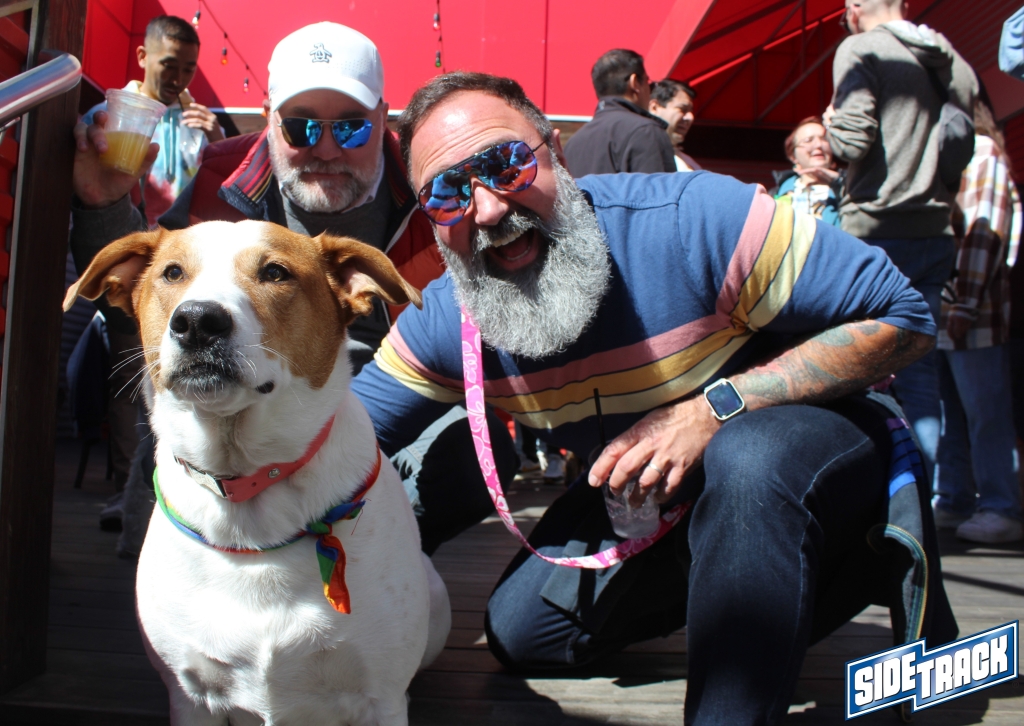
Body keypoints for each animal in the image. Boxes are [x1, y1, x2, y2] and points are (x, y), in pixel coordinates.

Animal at [64, 221, 451, 725]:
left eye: (275, 272)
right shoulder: (188, 696)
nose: (197, 321)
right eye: (172, 272)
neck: (246, 491)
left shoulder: (380, 697)